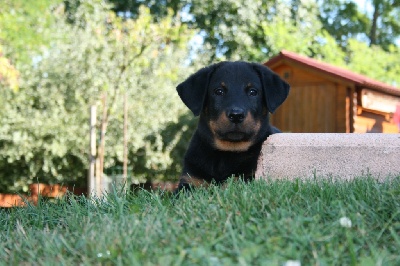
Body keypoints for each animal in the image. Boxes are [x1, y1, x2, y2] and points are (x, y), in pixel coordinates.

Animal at [177, 61, 290, 192]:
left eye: (253, 92)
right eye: (219, 91)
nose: (236, 115)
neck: (227, 153)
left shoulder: (246, 178)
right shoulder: (190, 181)